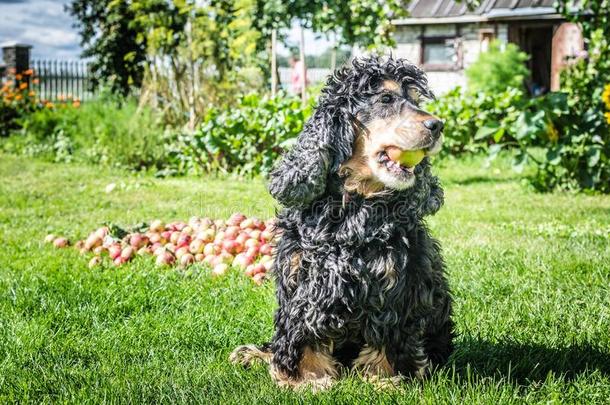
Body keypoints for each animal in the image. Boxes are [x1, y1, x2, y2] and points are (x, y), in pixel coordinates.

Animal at [232, 56, 452, 388]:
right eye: (385, 99)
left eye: (415, 101)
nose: (437, 125)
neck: (353, 209)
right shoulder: (304, 277)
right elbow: (302, 329)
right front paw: (307, 379)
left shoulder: (396, 279)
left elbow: (389, 331)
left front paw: (385, 379)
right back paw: (254, 354)